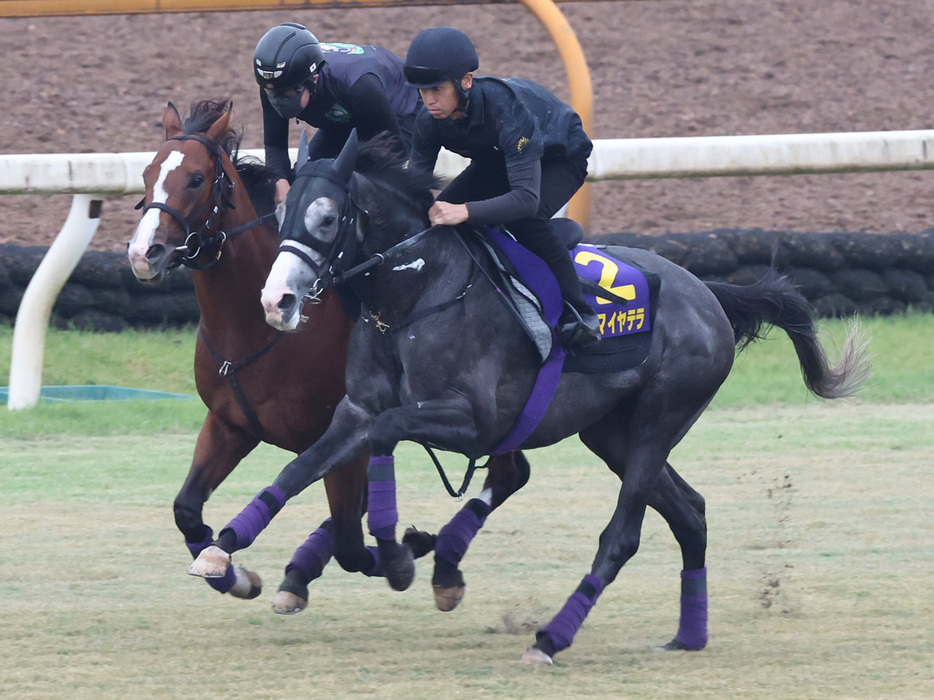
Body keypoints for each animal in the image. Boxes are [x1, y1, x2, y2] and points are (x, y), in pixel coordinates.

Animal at [188, 133, 872, 668]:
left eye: (327, 218)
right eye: (280, 215)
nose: (276, 302)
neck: (414, 296)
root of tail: (708, 292)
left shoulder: (473, 420)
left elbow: (385, 436)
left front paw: (400, 554)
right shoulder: (353, 408)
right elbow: (300, 467)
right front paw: (224, 548)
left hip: (660, 419)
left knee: (622, 536)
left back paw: (549, 637)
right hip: (612, 433)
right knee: (691, 512)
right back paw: (688, 634)